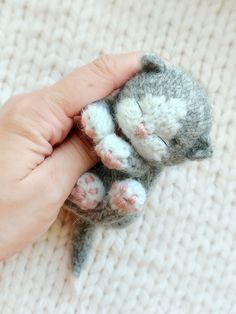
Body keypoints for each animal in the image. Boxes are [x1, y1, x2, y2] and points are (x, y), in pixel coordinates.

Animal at [63, 54, 213, 278]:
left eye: (164, 140)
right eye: (141, 106)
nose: (142, 129)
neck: (127, 138)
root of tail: (87, 219)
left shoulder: (148, 166)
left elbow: (138, 165)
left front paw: (114, 150)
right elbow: (101, 106)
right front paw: (96, 120)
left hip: (123, 216)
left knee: (108, 209)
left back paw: (116, 196)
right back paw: (87, 191)